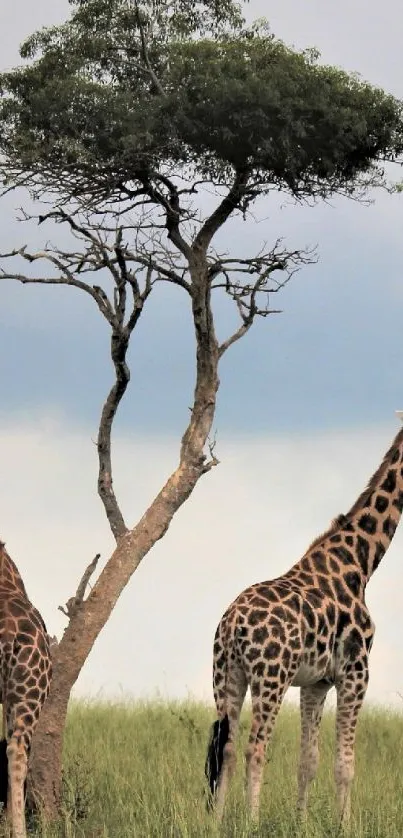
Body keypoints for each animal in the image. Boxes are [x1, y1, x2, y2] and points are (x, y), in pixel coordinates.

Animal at [205, 416, 403, 824]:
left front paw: (301, 822)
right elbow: (345, 764)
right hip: (270, 677)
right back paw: (252, 822)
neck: (360, 563)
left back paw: (215, 824)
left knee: (227, 747)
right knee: (255, 748)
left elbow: (307, 761)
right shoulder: (355, 672)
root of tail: (232, 626)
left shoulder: (316, 683)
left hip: (226, 676)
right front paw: (345, 826)